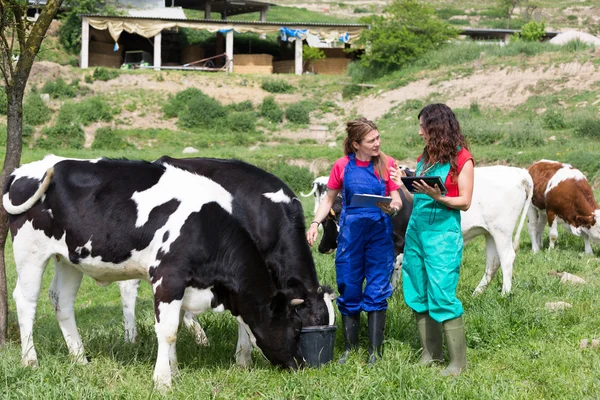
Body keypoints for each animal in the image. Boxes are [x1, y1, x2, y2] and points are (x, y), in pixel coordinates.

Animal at [2, 155, 308, 388]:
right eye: (295, 328)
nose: (300, 364)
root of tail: (24, 170)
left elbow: (176, 327)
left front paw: (174, 370)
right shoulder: (167, 277)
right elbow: (168, 331)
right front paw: (163, 381)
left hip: (69, 258)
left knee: (61, 301)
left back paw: (80, 358)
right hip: (29, 251)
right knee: (26, 301)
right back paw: (30, 360)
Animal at [318, 166, 536, 296]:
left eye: (327, 222)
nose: (320, 247)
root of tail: (519, 173)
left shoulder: (398, 242)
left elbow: (393, 267)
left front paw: (392, 293)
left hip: (501, 230)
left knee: (507, 258)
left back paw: (505, 294)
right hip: (490, 232)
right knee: (492, 263)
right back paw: (477, 294)